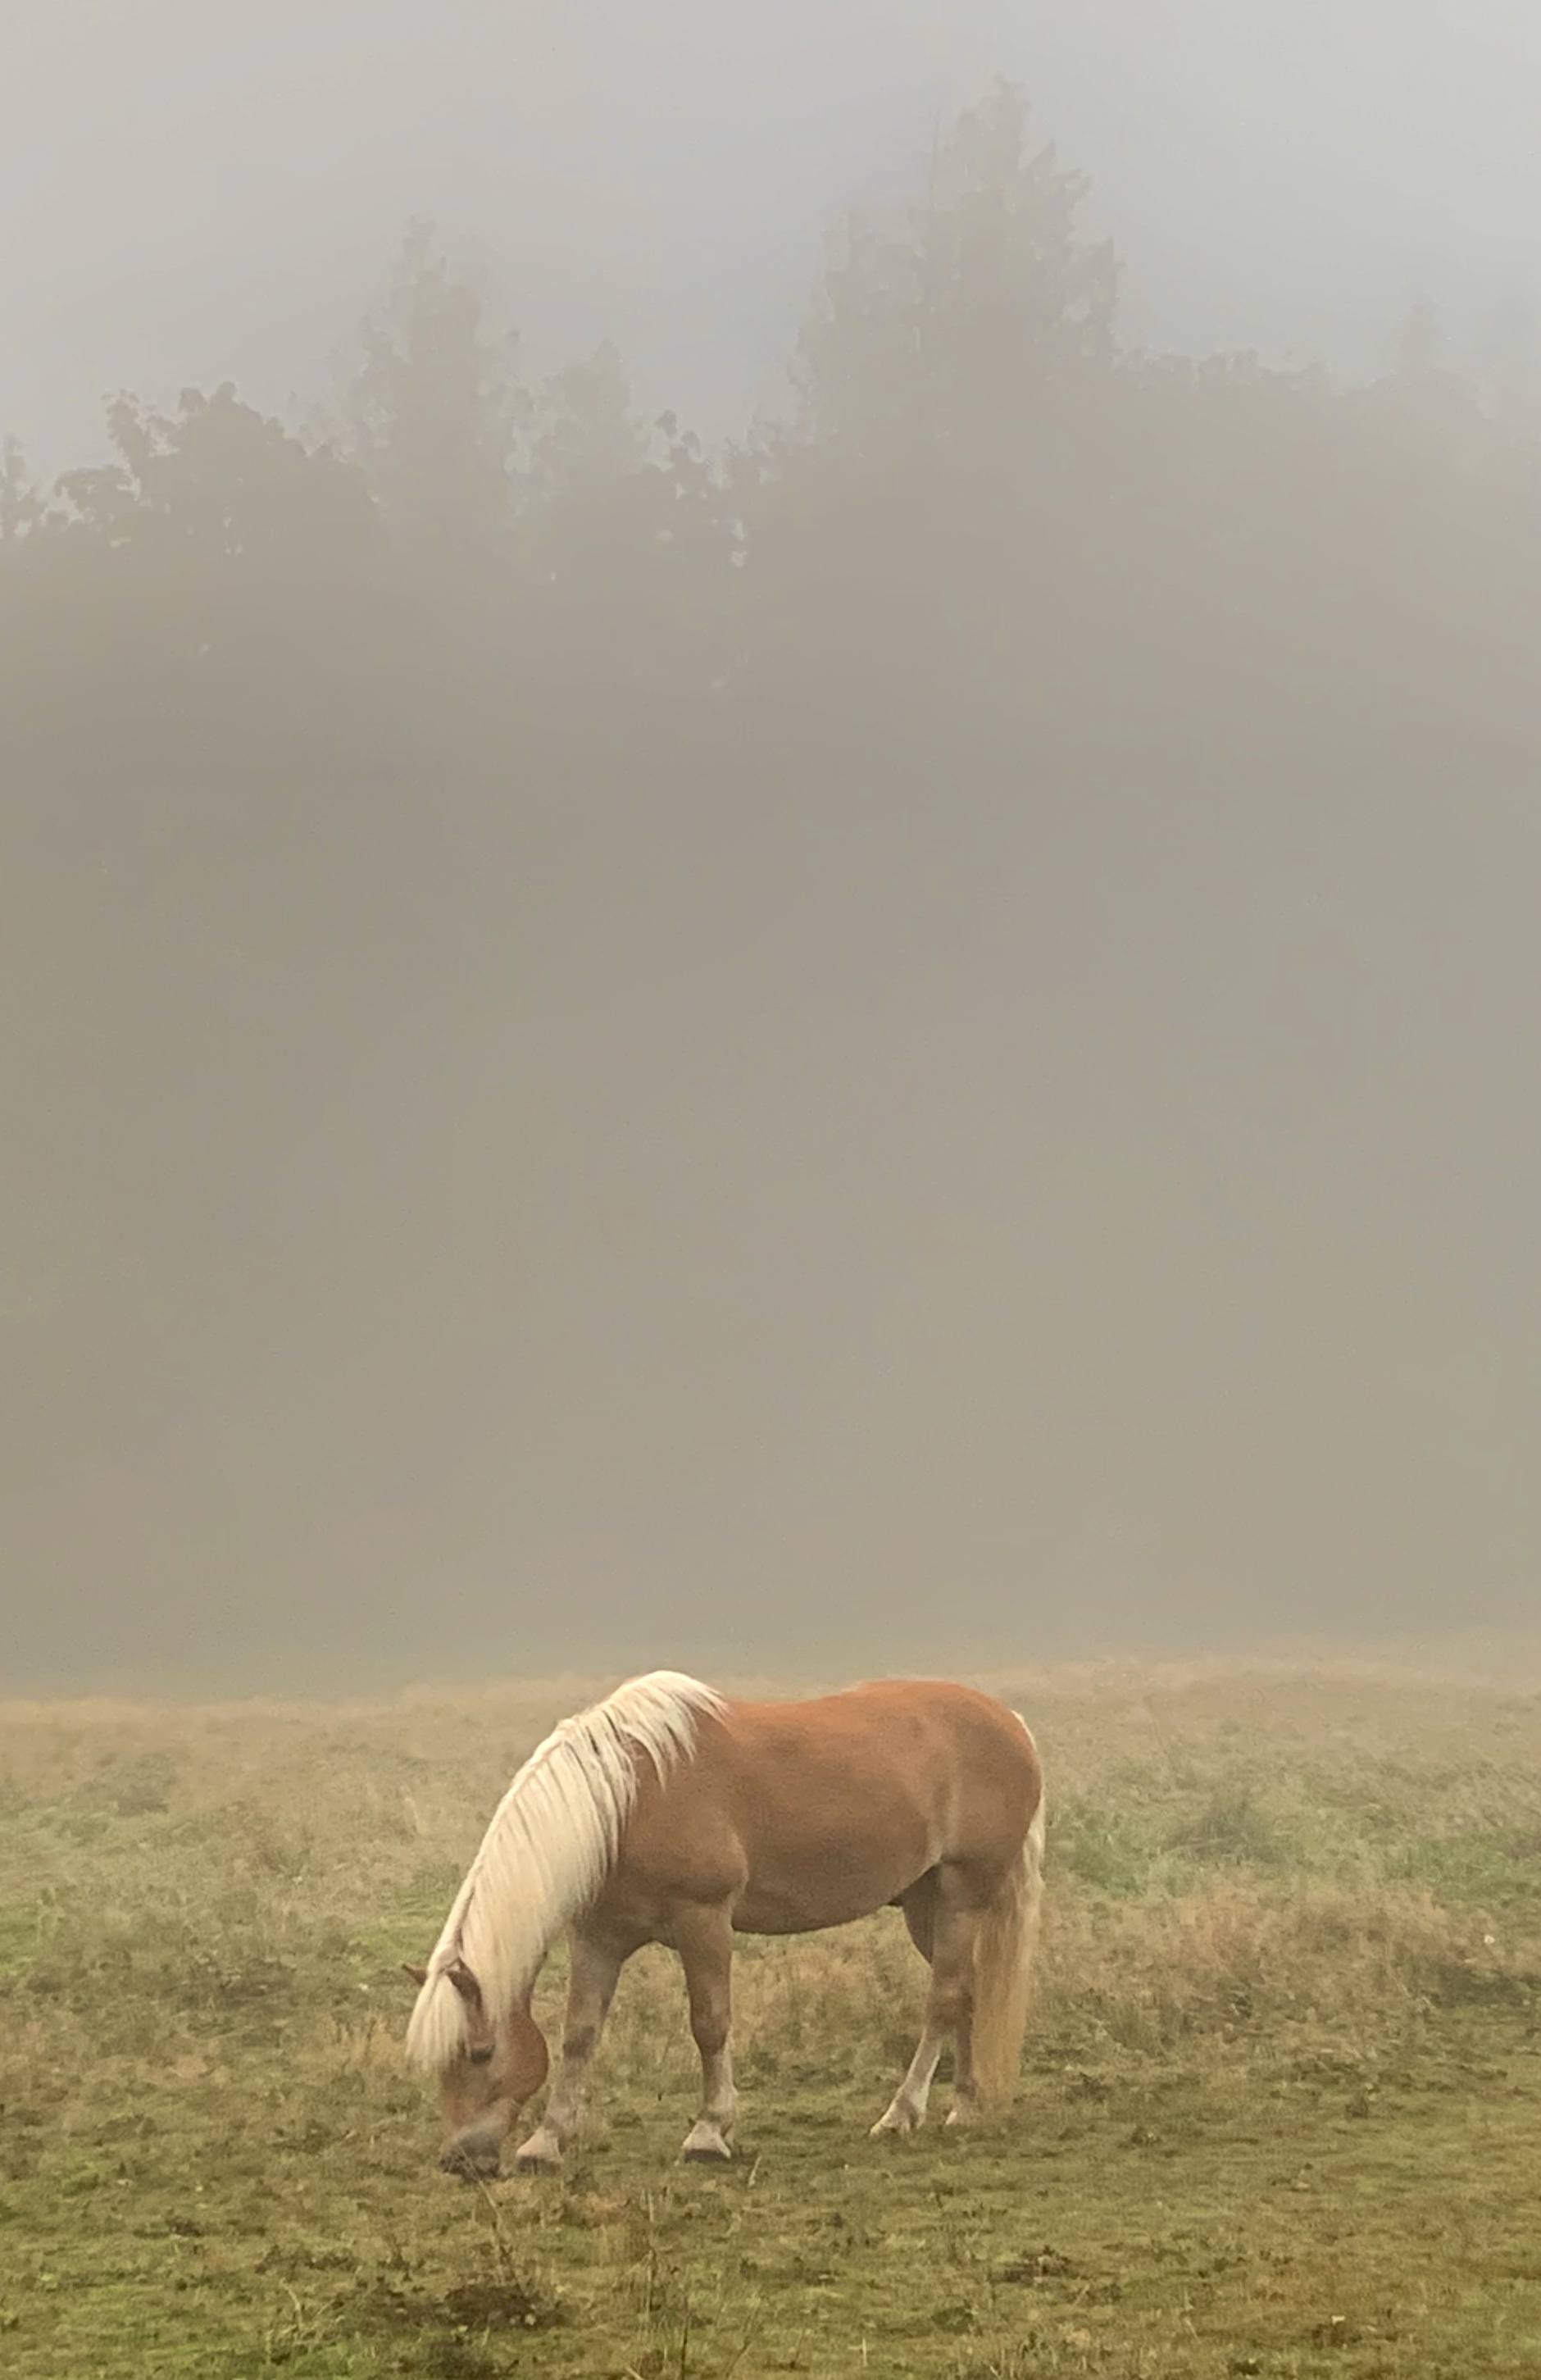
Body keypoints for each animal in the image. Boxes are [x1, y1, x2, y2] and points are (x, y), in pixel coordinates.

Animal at [403, 1671, 1045, 2177]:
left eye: (481, 2053)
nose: (458, 2160)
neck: (626, 1798)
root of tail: (1012, 1722)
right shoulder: (600, 1937)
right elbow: (579, 2034)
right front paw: (547, 2141)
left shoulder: (704, 1923)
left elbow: (709, 2025)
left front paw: (710, 2132)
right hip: (924, 1904)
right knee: (969, 1993)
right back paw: (965, 2106)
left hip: (962, 1893)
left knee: (944, 1999)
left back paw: (902, 2113)